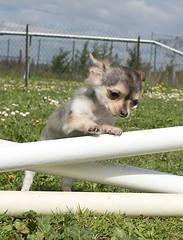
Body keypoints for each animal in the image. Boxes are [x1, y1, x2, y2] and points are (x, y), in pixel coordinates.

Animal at [21, 54, 145, 191]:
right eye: (114, 94)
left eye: (135, 102)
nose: (124, 113)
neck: (99, 109)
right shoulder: (71, 119)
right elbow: (84, 119)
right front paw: (91, 125)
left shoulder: (105, 119)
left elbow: (104, 125)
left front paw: (112, 129)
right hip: (36, 159)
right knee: (29, 175)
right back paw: (25, 189)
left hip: (75, 171)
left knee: (65, 182)